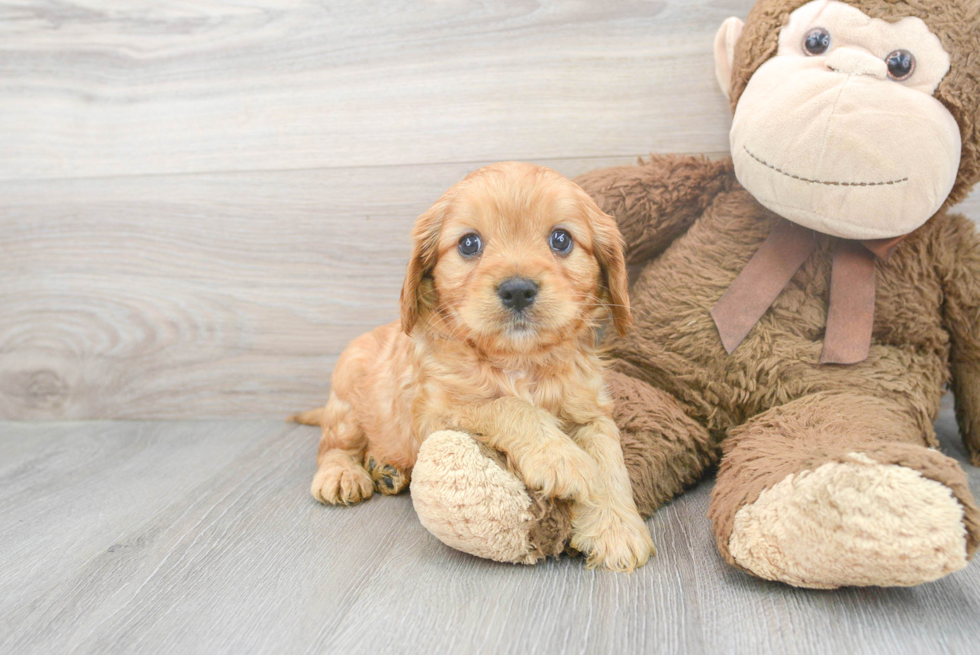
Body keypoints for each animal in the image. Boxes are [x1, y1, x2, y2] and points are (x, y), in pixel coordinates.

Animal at [294, 161, 656, 572]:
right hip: (347, 401)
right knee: (332, 447)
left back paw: (386, 469)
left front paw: (617, 528)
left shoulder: (590, 408)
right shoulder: (437, 412)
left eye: (561, 239)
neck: (519, 360)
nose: (517, 290)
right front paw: (560, 459)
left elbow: (609, 458)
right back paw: (344, 473)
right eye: (469, 243)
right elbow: (505, 406)